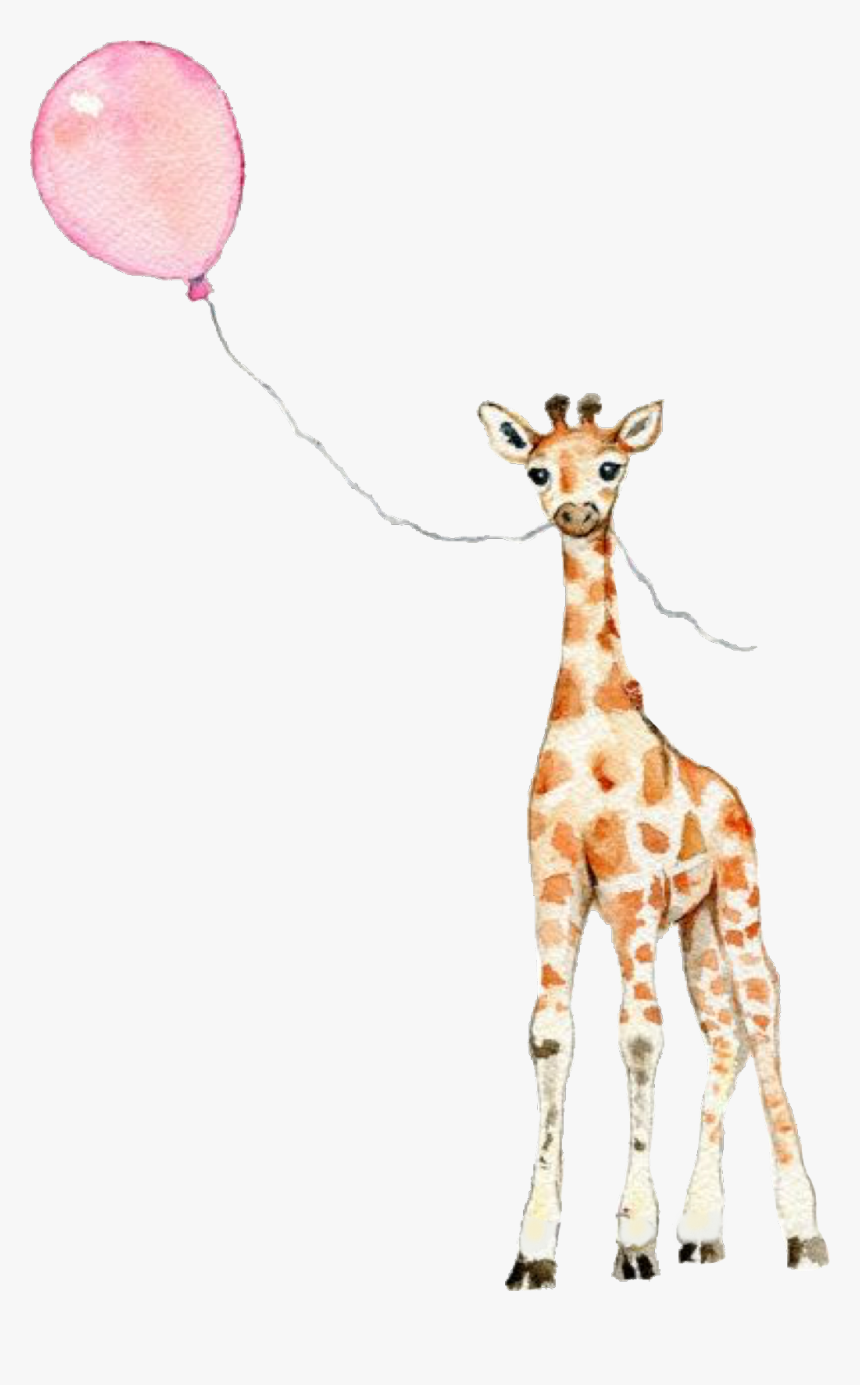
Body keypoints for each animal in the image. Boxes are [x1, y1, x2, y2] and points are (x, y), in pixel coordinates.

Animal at [479, 391, 828, 1286]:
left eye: (611, 464)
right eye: (538, 470)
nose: (576, 511)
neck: (594, 731)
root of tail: (732, 792)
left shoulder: (631, 885)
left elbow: (638, 1033)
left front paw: (632, 1239)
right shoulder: (555, 881)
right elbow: (549, 1033)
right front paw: (535, 1250)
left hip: (736, 900)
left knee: (763, 1011)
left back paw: (803, 1233)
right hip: (694, 926)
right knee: (725, 1033)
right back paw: (704, 1232)